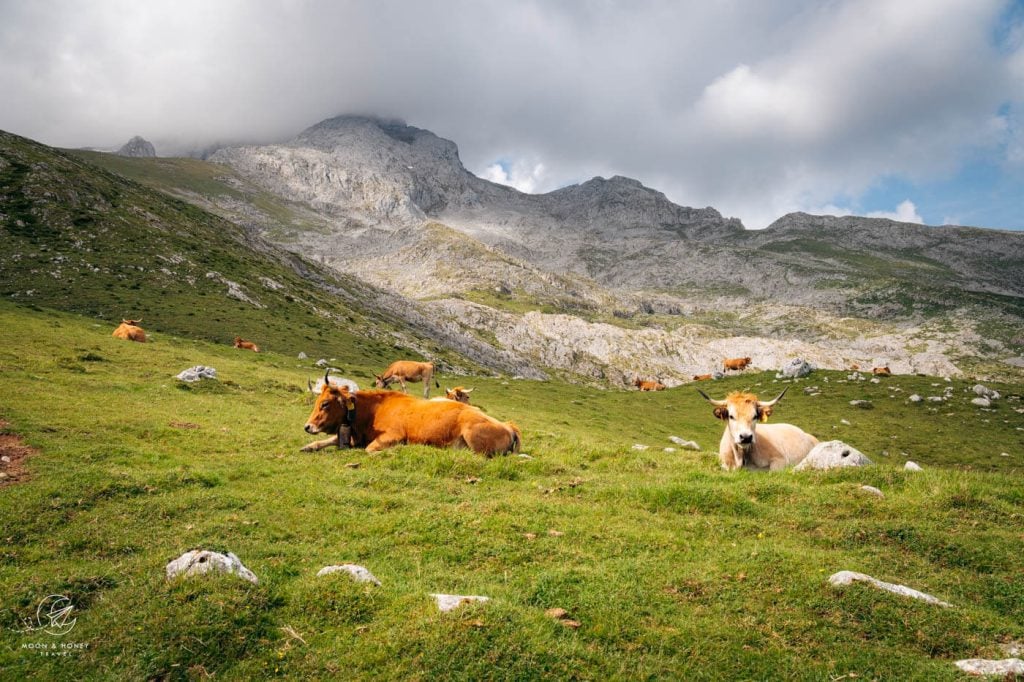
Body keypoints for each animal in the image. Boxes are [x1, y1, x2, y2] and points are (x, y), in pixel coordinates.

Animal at [299, 368, 516, 454]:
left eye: (325, 403)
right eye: (317, 401)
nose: (307, 426)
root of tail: (508, 426)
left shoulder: (393, 435)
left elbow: (370, 449)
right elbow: (325, 441)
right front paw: (308, 446)